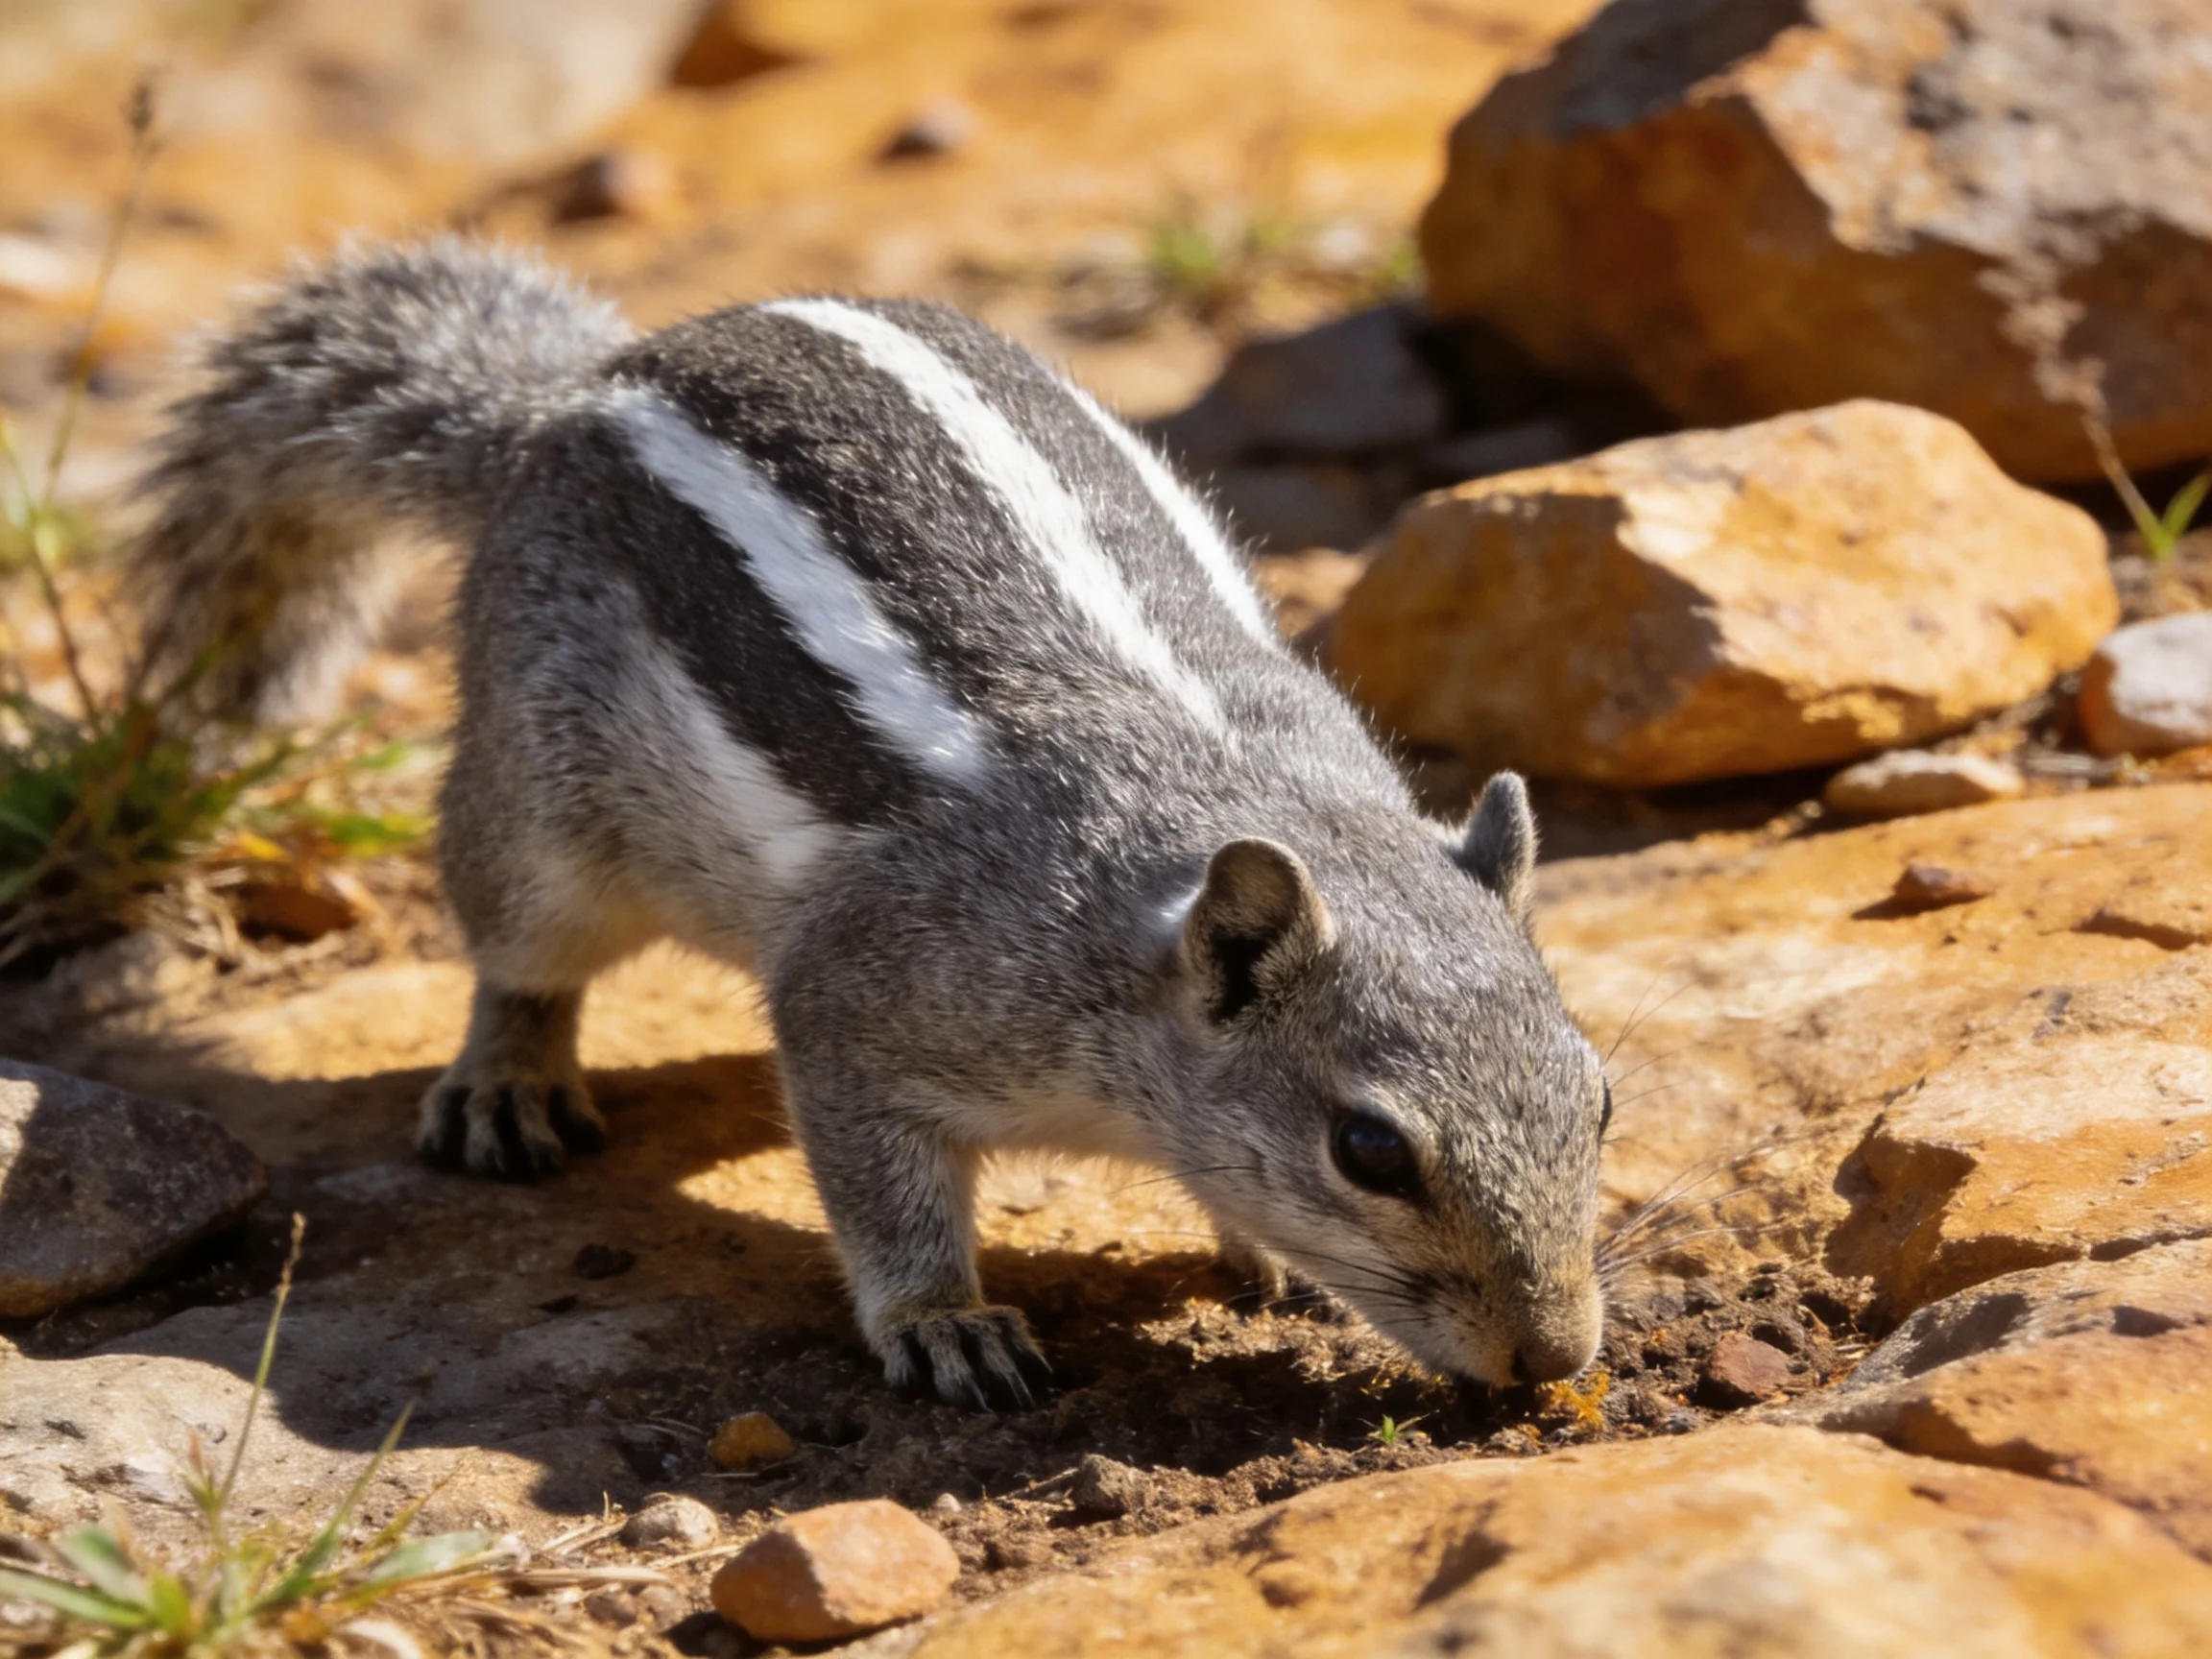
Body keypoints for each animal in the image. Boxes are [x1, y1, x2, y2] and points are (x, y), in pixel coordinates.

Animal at [128, 241, 1609, 1409]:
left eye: (1598, 1098)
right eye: (1370, 1151)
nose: (1554, 1359)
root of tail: (569, 391)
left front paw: (1266, 1256)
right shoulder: (872, 996)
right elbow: (877, 1179)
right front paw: (947, 1325)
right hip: (536, 800)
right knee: (519, 952)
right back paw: (508, 1082)